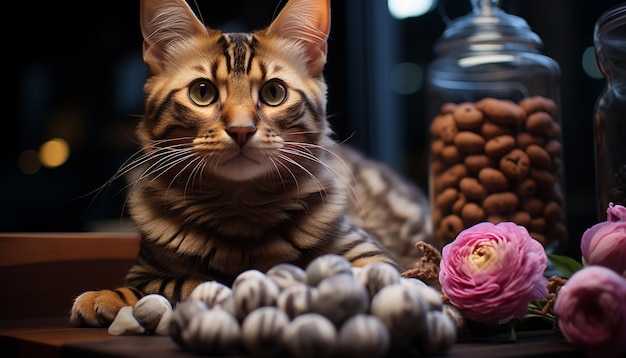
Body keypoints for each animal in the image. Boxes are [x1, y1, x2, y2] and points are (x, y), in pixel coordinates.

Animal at [68, 0, 428, 328]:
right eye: (202, 92)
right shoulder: (143, 271)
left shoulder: (374, 257)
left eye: (273, 93)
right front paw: (110, 295)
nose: (241, 130)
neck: (240, 211)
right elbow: (173, 282)